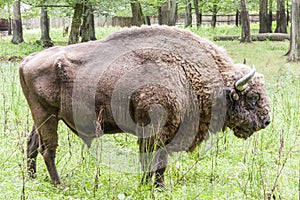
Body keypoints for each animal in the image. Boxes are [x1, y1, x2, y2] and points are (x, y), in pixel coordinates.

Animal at [19, 25, 270, 187]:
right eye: (252, 97)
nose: (267, 121)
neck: (189, 73)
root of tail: (27, 60)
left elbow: (158, 162)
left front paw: (155, 186)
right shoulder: (155, 130)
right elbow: (152, 159)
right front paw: (150, 186)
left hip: (44, 116)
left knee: (32, 144)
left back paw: (32, 179)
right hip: (47, 116)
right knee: (47, 149)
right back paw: (58, 184)